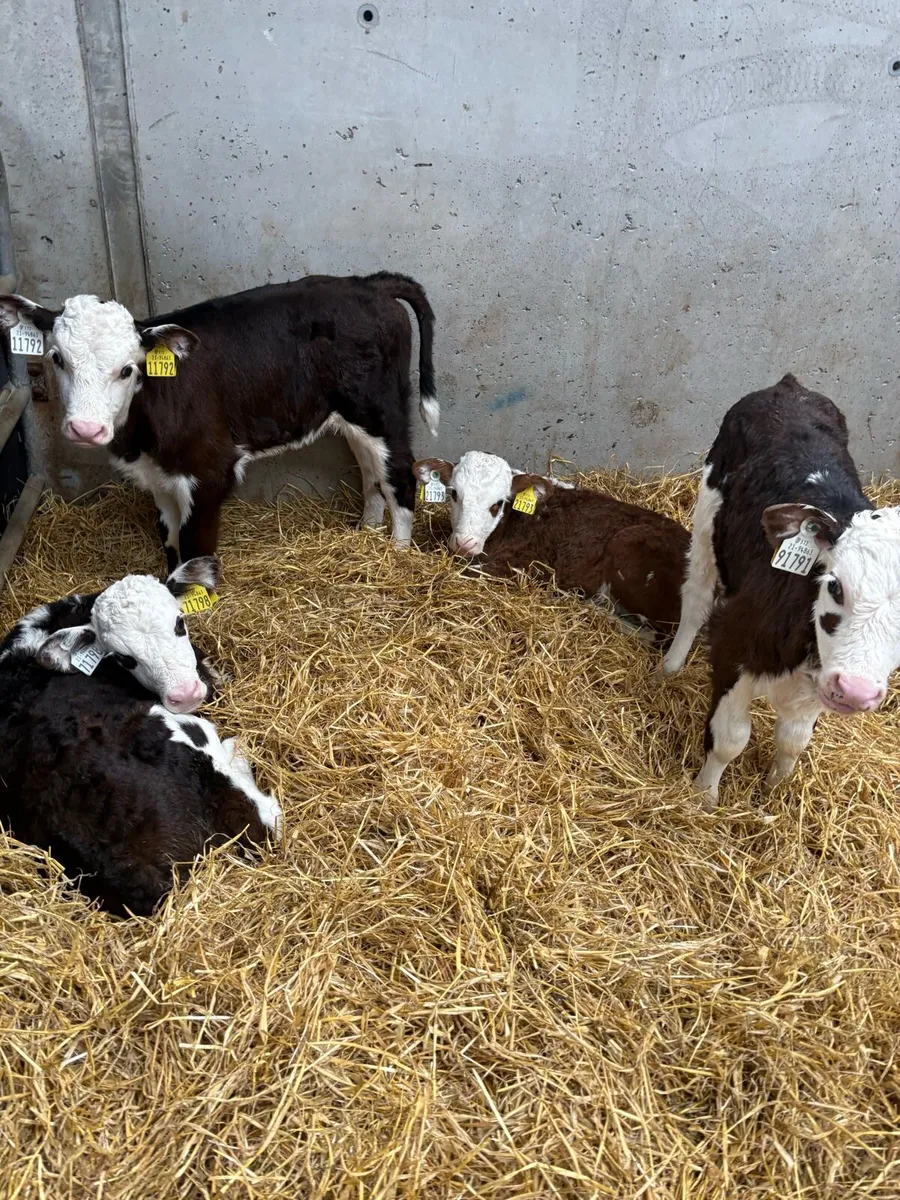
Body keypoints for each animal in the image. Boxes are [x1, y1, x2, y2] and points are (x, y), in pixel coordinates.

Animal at [0, 272, 438, 569]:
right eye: (57, 358)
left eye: (127, 369)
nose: (85, 429)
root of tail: (368, 284)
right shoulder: (159, 478)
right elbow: (171, 541)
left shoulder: (211, 470)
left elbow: (195, 543)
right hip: (355, 417)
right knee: (372, 473)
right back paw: (367, 534)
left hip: (381, 408)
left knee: (399, 475)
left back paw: (398, 554)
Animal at [413, 451, 690, 640]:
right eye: (453, 494)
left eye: (498, 503)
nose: (465, 544)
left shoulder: (517, 565)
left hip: (627, 548)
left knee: (655, 636)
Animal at [662, 373, 900, 802]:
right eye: (835, 587)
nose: (855, 691)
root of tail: (789, 386)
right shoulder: (734, 647)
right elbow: (730, 738)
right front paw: (705, 797)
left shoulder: (821, 678)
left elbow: (793, 739)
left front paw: (774, 789)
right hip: (708, 515)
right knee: (697, 597)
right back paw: (670, 667)